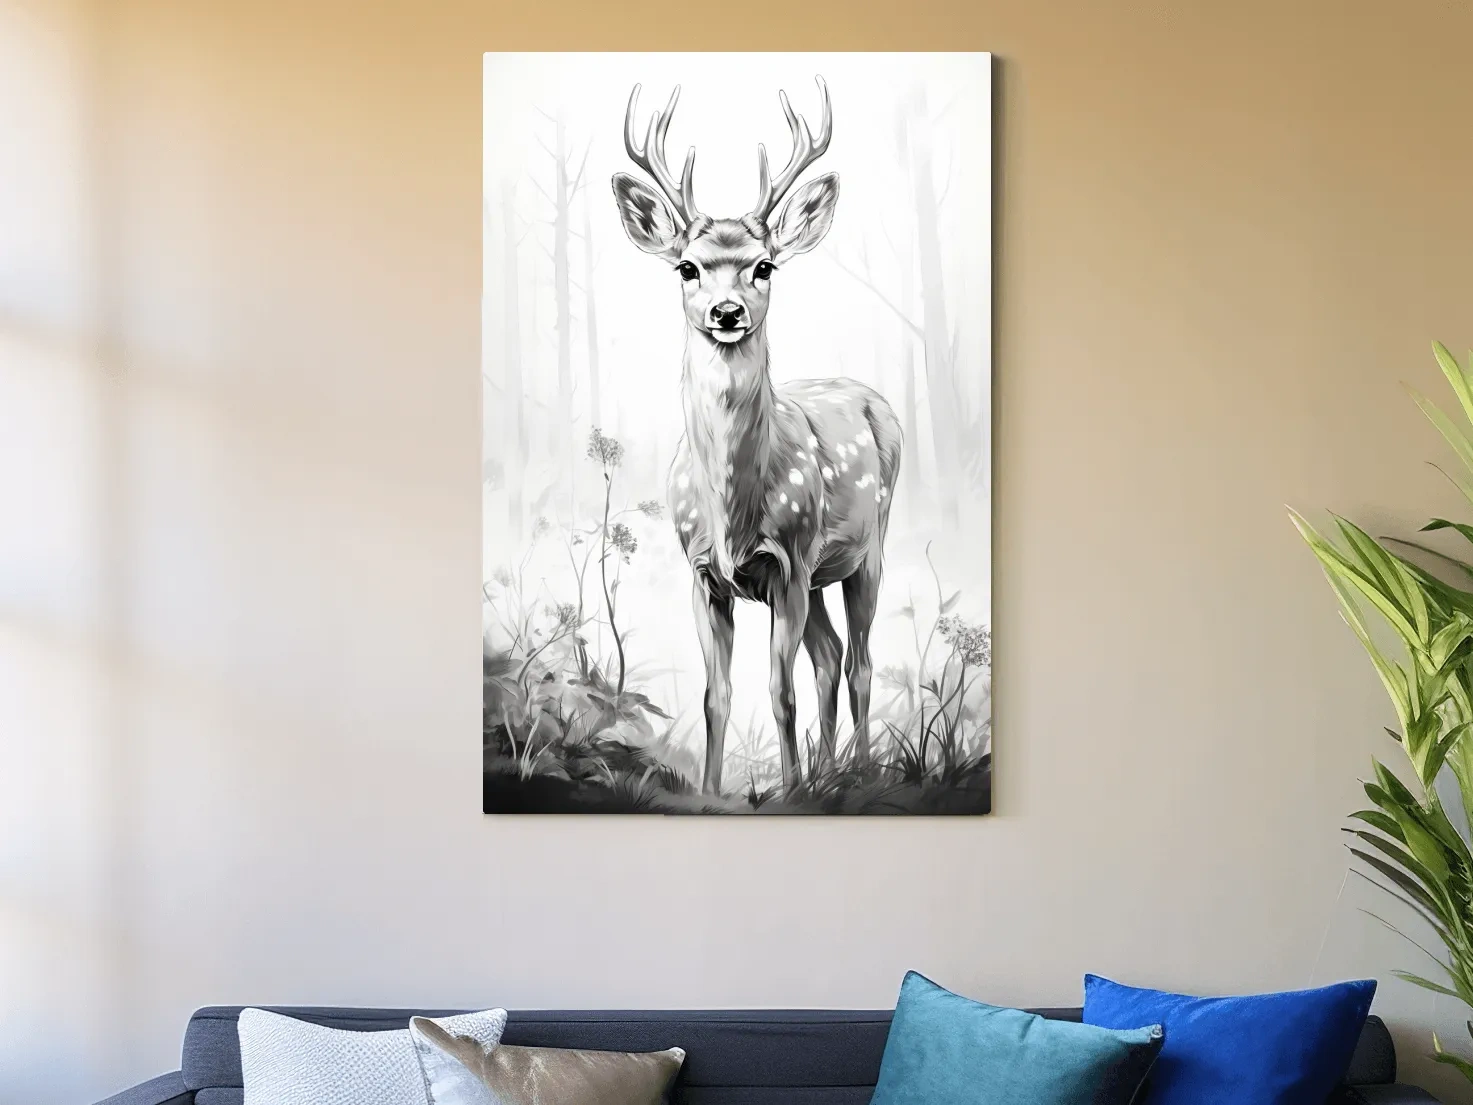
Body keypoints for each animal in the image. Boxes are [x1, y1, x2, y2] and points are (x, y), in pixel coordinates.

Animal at [611, 76, 903, 797]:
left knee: (857, 660)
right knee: (829, 654)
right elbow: (716, 696)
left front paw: (791, 792)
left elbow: (779, 691)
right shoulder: (703, 574)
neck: (731, 515)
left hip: (868, 548)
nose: (726, 312)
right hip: (822, 575)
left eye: (765, 266)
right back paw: (829, 772)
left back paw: (852, 774)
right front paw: (712, 793)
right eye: (686, 268)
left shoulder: (789, 562)